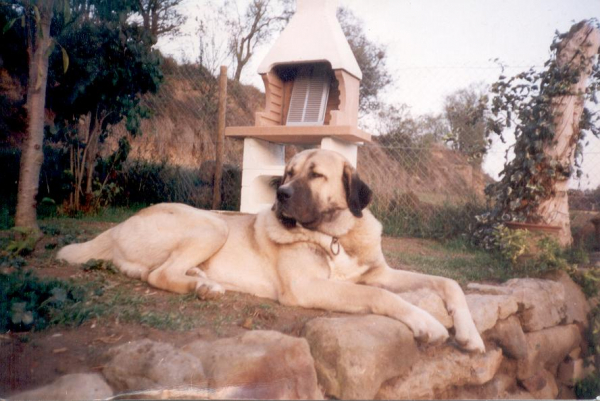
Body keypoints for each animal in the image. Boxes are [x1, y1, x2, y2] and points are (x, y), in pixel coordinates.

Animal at [58, 148, 486, 350]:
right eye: (287, 174)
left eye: (316, 175)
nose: (280, 195)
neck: (334, 235)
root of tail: (116, 227)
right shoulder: (309, 288)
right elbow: (381, 298)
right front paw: (428, 323)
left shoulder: (379, 273)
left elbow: (447, 282)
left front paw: (469, 334)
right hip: (211, 223)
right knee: (158, 274)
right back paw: (200, 286)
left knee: (164, 270)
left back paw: (204, 282)